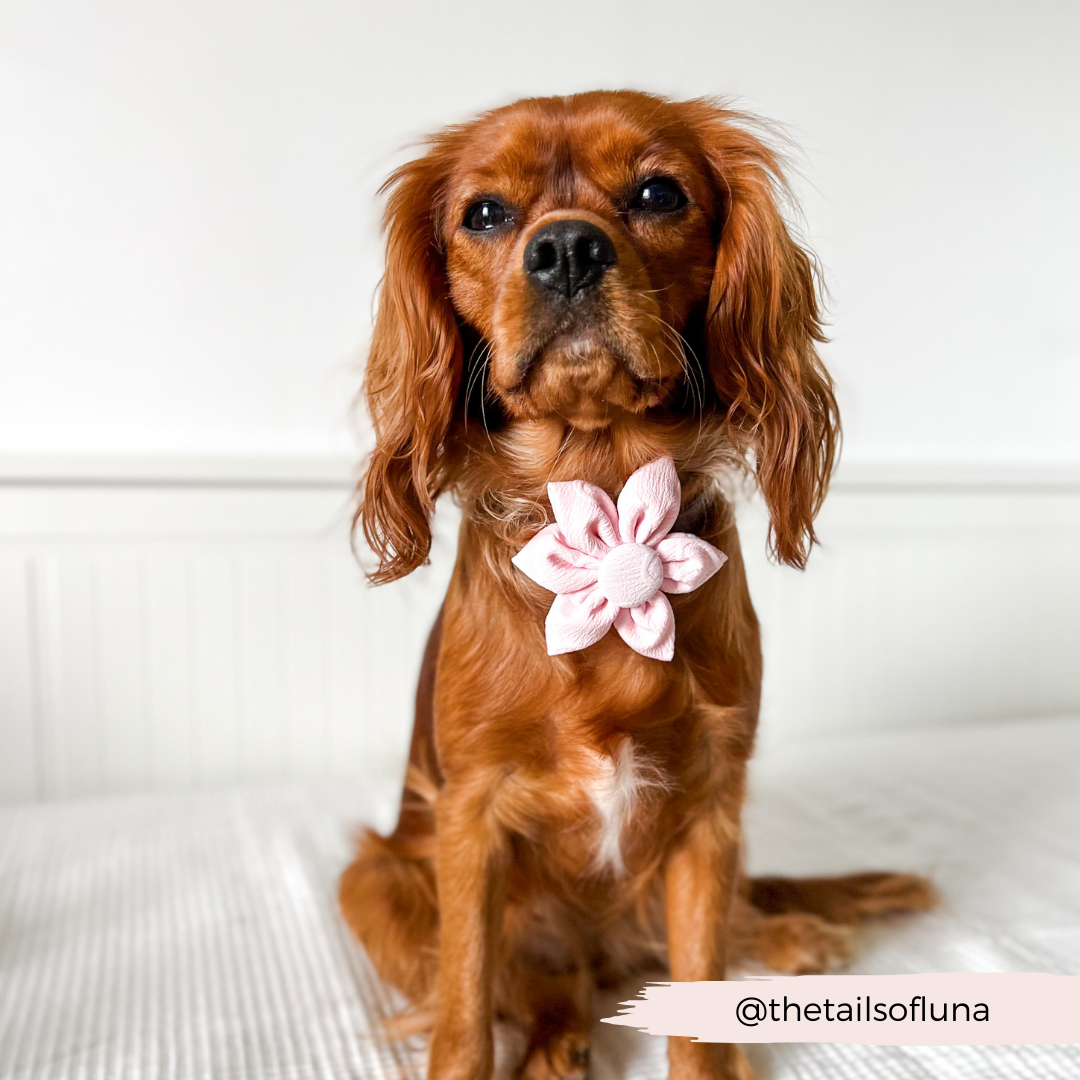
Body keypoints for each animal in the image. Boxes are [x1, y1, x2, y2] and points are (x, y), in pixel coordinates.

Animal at [341, 90, 933, 1080]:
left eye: (659, 192)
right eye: (485, 213)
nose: (567, 248)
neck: (606, 495)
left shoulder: (709, 809)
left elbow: (700, 999)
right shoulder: (469, 816)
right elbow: (466, 1007)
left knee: (717, 931)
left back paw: (792, 937)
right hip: (374, 877)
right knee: (540, 979)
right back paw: (558, 1039)